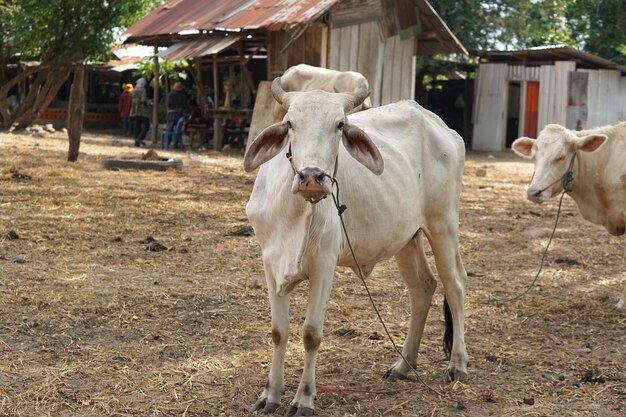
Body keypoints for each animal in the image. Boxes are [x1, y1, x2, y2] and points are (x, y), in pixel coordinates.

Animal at [241, 77, 466, 412]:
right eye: (291, 123)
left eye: (339, 125)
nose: (311, 177)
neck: (295, 215)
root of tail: (441, 126)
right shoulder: (270, 262)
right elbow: (279, 332)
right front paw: (270, 395)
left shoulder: (324, 264)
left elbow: (311, 333)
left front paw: (304, 398)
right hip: (406, 237)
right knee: (423, 287)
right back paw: (404, 365)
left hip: (443, 224)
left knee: (454, 286)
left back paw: (458, 364)